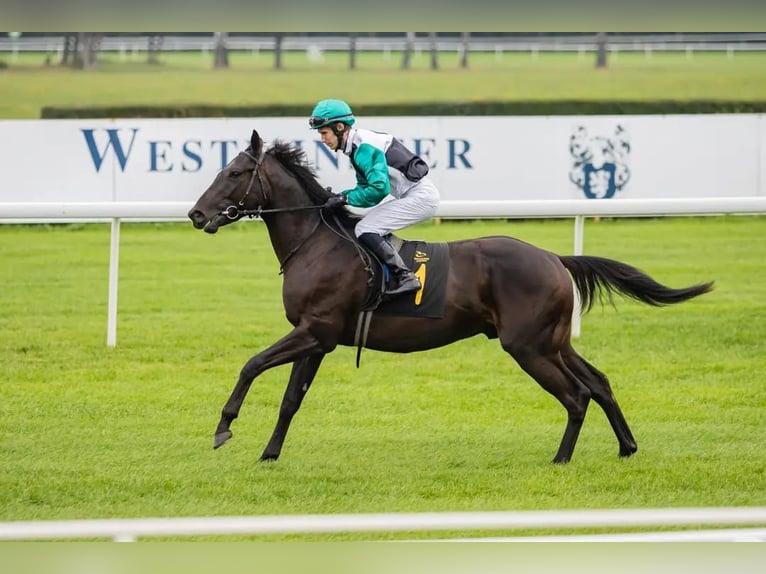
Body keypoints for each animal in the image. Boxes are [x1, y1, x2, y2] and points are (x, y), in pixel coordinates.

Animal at [189, 130, 716, 468]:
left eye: (235, 172)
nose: (196, 214)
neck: (317, 242)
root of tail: (553, 257)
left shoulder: (315, 331)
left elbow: (252, 365)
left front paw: (224, 428)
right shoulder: (317, 338)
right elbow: (290, 400)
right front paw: (269, 454)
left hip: (528, 347)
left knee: (576, 395)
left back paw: (561, 459)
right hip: (554, 341)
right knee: (600, 383)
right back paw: (626, 447)